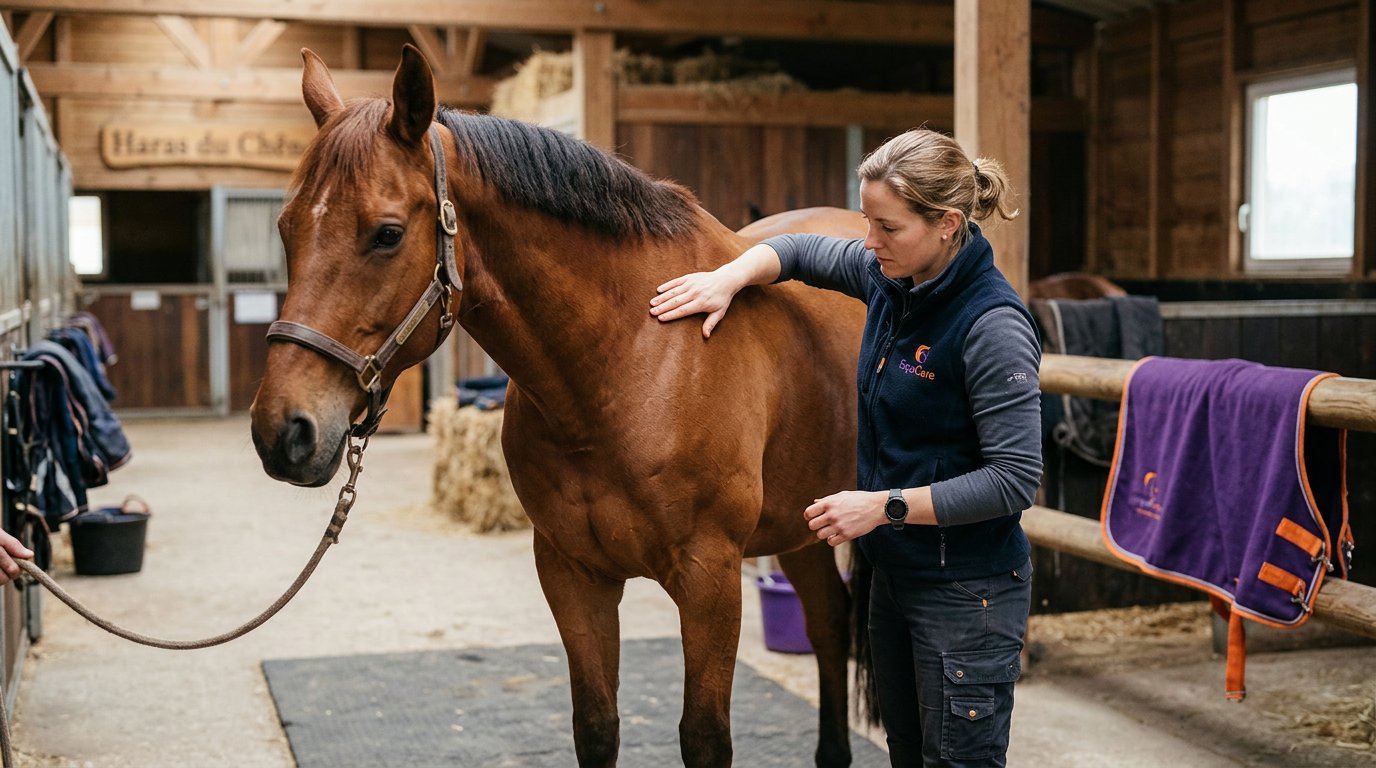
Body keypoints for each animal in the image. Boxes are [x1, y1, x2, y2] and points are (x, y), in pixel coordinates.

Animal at [250, 45, 871, 767]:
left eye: (386, 234)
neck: (628, 359)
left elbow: (704, 736)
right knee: (829, 624)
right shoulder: (572, 573)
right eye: (286, 228)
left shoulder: (711, 579)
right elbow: (596, 725)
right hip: (806, 522)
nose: (282, 431)